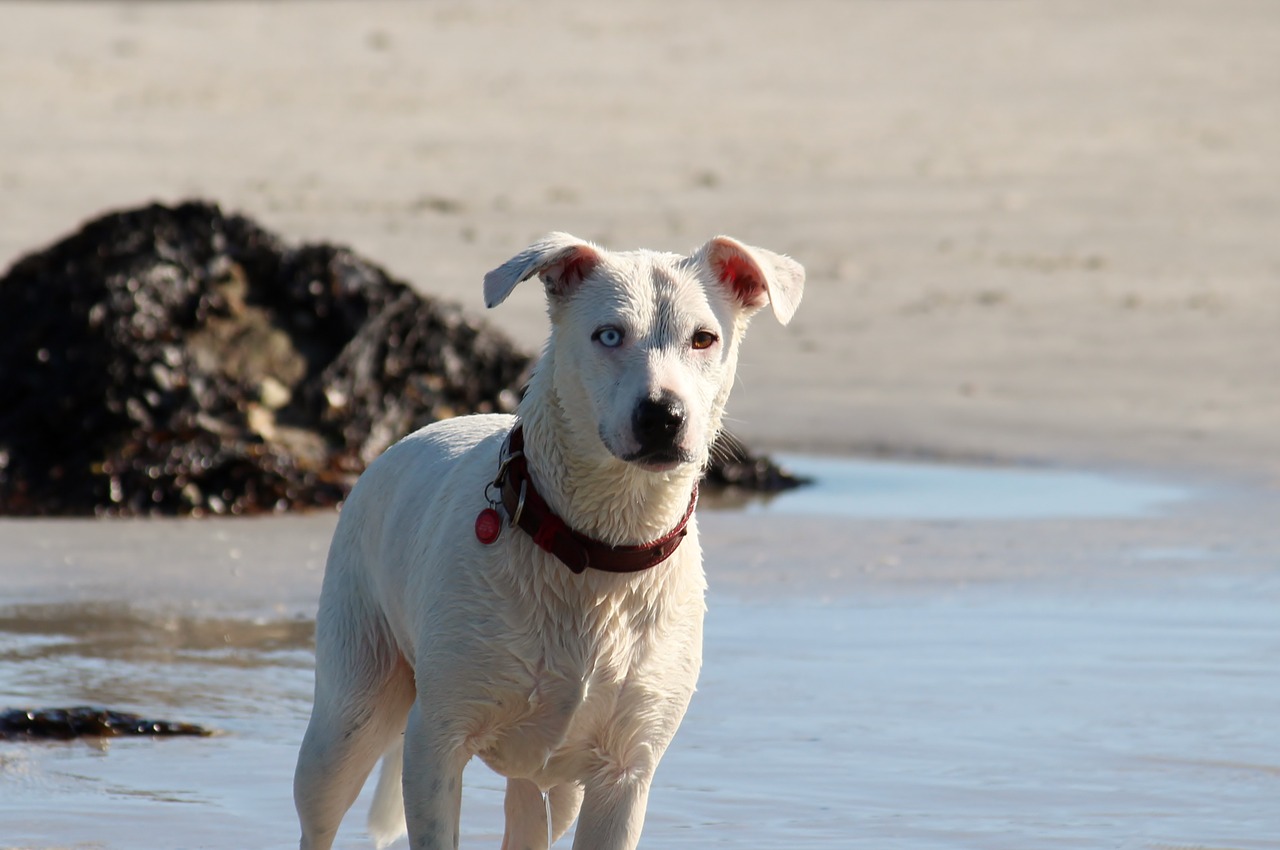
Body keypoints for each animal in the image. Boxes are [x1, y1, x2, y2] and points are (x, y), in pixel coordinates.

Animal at [294, 232, 803, 850]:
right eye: (608, 334)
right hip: (349, 710)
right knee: (324, 799)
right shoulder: (437, 743)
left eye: (704, 338)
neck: (597, 547)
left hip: (550, 791)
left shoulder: (624, 773)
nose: (663, 416)